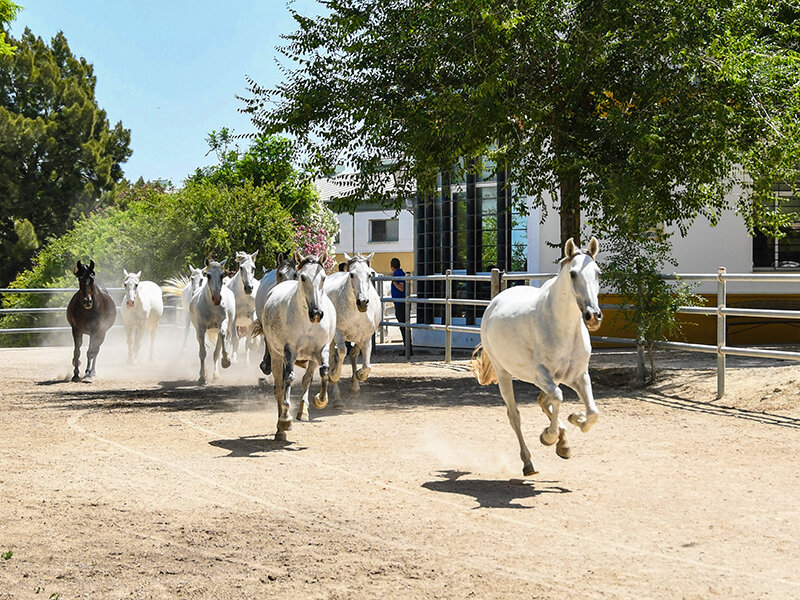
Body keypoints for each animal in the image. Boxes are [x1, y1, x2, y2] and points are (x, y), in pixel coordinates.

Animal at [260, 251, 336, 438]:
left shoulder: (321, 349)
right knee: (279, 388)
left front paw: (320, 400)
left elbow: (324, 372)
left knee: (307, 378)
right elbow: (288, 379)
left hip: (311, 358)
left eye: (323, 277)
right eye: (302, 277)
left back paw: (302, 411)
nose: (316, 313)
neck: (307, 323)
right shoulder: (290, 351)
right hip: (276, 355)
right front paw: (286, 420)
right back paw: (280, 428)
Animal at [324, 251, 382, 400]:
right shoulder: (338, 333)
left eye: (369, 275)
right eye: (351, 274)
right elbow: (341, 352)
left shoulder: (366, 337)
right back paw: (336, 394)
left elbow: (367, 365)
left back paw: (354, 387)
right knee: (333, 357)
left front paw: (360, 375)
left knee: (353, 355)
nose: (363, 302)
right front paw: (334, 375)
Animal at [472, 237, 604, 476]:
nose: (593, 316)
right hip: (505, 374)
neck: (562, 327)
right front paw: (549, 436)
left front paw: (575, 419)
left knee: (543, 400)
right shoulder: (540, 373)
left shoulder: (579, 376)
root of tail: (494, 302)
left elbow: (593, 412)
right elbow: (559, 398)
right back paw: (528, 462)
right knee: (515, 415)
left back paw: (563, 443)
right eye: (573, 274)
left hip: (550, 378)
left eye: (598, 273)